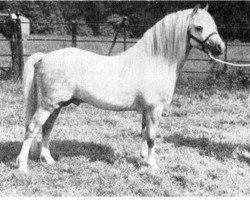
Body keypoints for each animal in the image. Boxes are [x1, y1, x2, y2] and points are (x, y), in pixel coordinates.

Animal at [16, 4, 226, 172]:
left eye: (214, 25)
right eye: (199, 27)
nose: (220, 48)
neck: (155, 61)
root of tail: (44, 57)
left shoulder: (146, 110)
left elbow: (144, 133)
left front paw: (143, 160)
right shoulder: (154, 109)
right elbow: (152, 137)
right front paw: (153, 165)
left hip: (57, 105)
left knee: (47, 128)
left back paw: (49, 160)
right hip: (47, 105)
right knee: (32, 128)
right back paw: (22, 166)